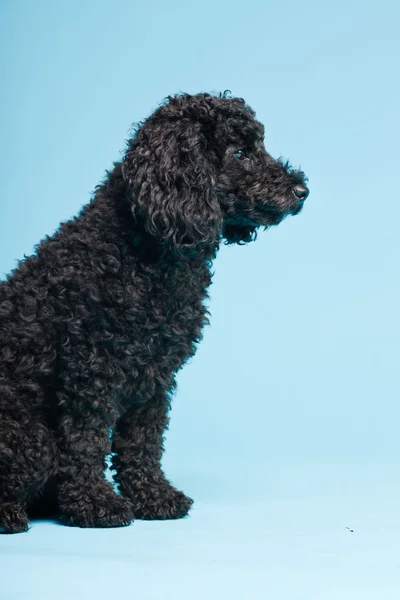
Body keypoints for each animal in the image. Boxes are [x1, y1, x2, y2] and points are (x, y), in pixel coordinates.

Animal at [0, 91, 310, 532]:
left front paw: (153, 495)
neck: (144, 250)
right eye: (239, 153)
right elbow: (86, 441)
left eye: (261, 146)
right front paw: (94, 504)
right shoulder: (88, 372)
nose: (302, 190)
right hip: (32, 439)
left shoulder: (155, 375)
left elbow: (143, 441)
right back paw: (10, 513)